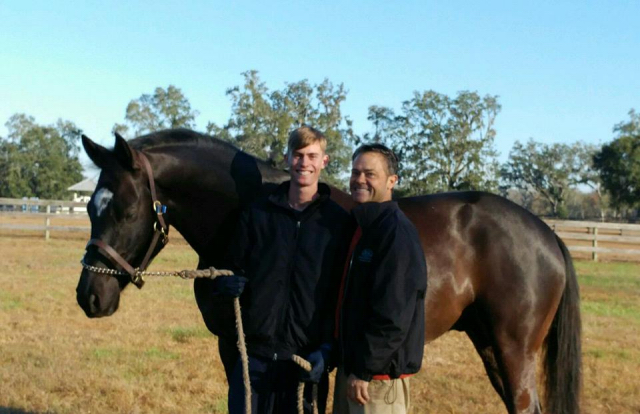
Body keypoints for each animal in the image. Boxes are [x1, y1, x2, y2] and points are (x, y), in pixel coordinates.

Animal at [75, 129, 580, 414]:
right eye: (91, 208)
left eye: (125, 210)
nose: (89, 296)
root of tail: (547, 234)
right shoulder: (244, 350)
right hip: (492, 346)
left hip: (514, 350)